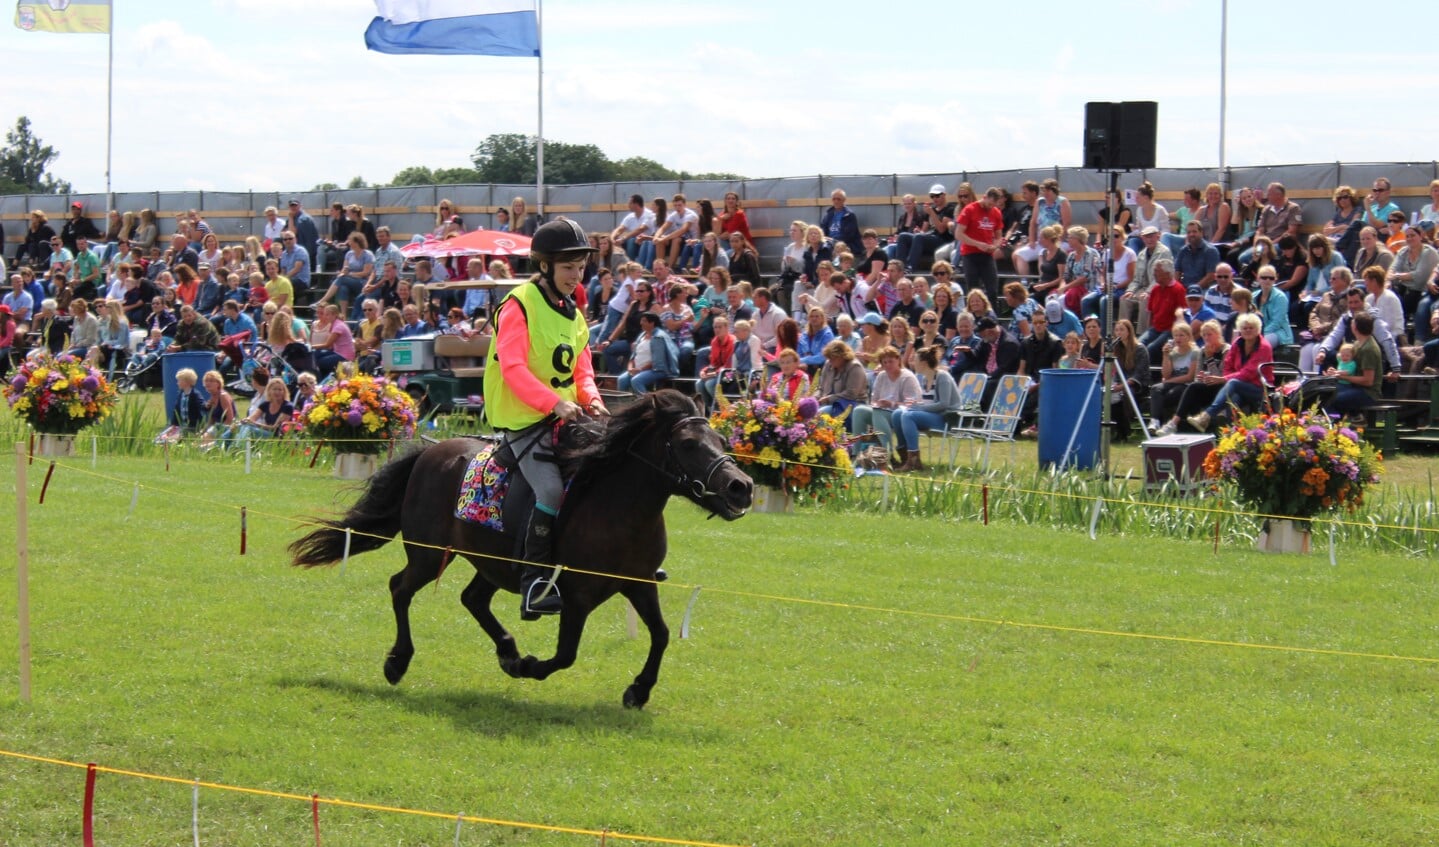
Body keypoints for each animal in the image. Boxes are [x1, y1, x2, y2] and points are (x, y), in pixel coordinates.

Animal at [297, 391, 759, 707]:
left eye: (721, 440)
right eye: (688, 444)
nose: (742, 487)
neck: (618, 507)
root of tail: (431, 451)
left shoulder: (639, 583)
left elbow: (661, 635)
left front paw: (638, 691)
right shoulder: (576, 595)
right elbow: (566, 654)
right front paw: (530, 666)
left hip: (492, 563)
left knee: (471, 598)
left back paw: (506, 651)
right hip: (429, 554)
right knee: (400, 588)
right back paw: (398, 661)